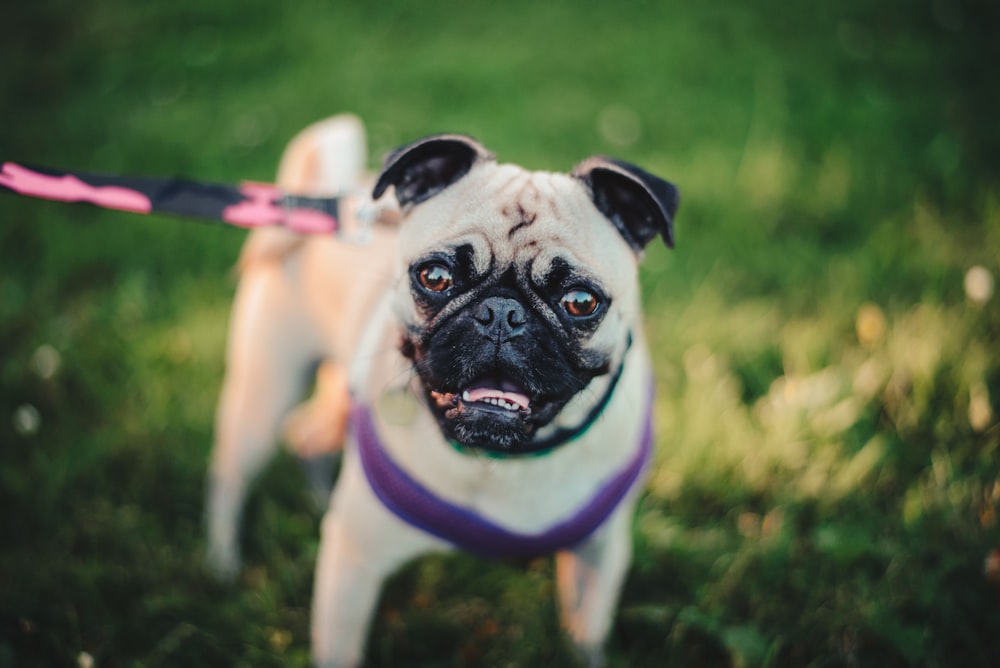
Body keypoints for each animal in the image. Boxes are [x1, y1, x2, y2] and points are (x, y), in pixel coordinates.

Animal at [209, 112, 680, 664]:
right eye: (434, 276)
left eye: (581, 301)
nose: (502, 313)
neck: (504, 459)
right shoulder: (353, 564)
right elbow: (340, 650)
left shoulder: (599, 557)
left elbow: (583, 640)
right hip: (265, 392)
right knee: (230, 476)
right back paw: (220, 566)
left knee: (305, 436)